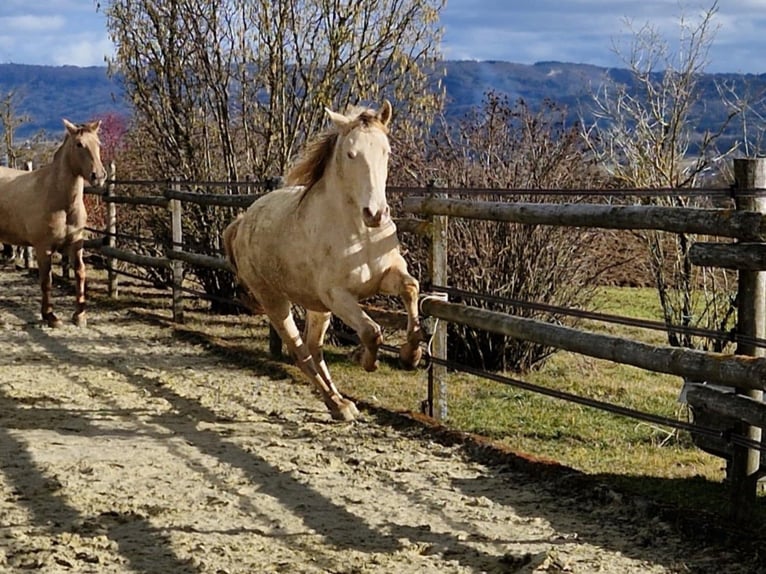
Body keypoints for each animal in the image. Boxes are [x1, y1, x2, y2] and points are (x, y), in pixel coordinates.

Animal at [0, 119, 106, 327]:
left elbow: (80, 273)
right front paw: (50, 316)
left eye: (98, 144)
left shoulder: (76, 243)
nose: (98, 176)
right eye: (79, 144)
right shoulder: (44, 248)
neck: (59, 200)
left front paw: (80, 315)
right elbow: (46, 281)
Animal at [223, 101, 423, 421]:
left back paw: (341, 403)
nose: (375, 214)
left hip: (316, 307)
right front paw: (368, 362)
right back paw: (338, 405)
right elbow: (371, 331)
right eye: (350, 154)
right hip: (275, 300)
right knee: (300, 351)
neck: (359, 235)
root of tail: (242, 221)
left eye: (386, 151)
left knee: (314, 348)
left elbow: (411, 288)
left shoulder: (388, 275)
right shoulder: (337, 295)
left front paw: (411, 355)